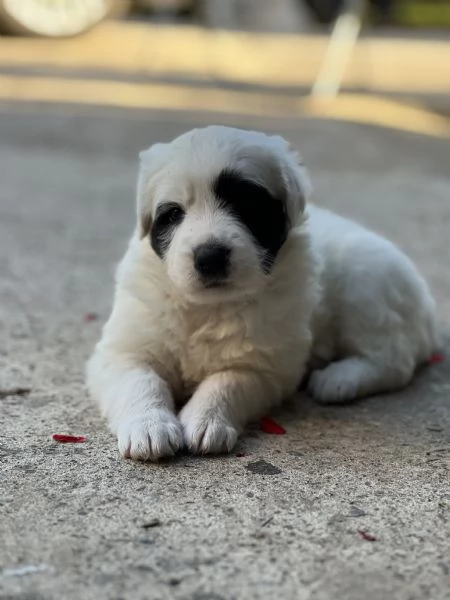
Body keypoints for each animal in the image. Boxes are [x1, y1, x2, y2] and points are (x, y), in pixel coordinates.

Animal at [86, 123, 438, 460]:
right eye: (173, 214)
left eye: (246, 206)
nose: (210, 257)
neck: (209, 308)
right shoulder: (123, 349)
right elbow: (139, 381)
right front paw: (149, 427)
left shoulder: (265, 366)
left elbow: (226, 381)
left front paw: (206, 419)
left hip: (365, 285)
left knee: (394, 359)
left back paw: (338, 379)